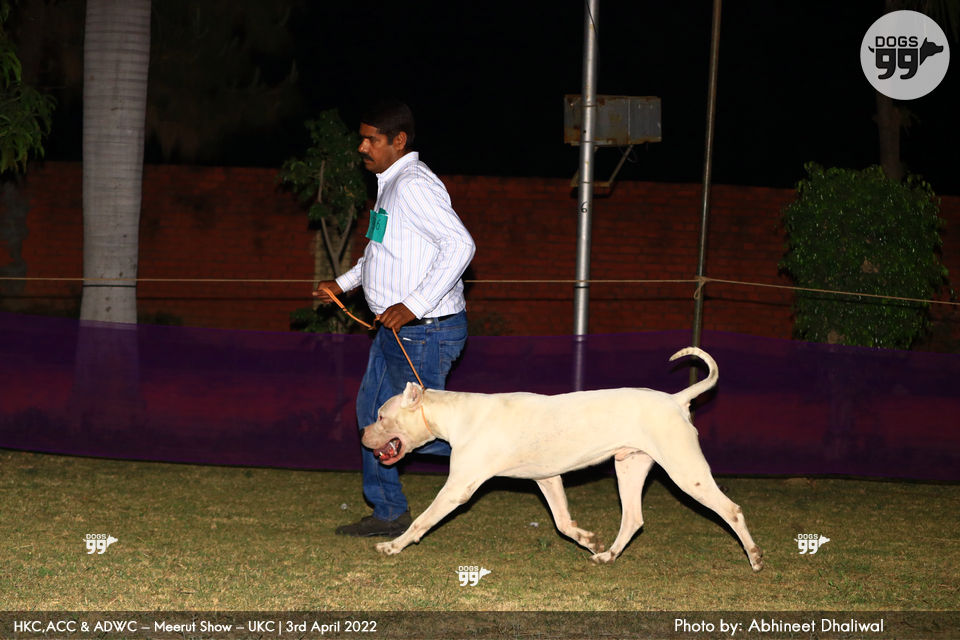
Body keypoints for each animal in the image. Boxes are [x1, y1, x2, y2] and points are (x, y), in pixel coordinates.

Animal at [360, 347, 764, 572]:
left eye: (380, 415)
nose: (362, 434)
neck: (458, 414)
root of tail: (677, 399)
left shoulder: (458, 487)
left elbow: (422, 521)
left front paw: (393, 546)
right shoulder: (547, 479)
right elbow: (563, 523)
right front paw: (589, 541)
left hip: (686, 471)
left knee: (731, 510)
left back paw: (755, 556)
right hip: (629, 467)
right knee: (633, 519)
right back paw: (608, 556)